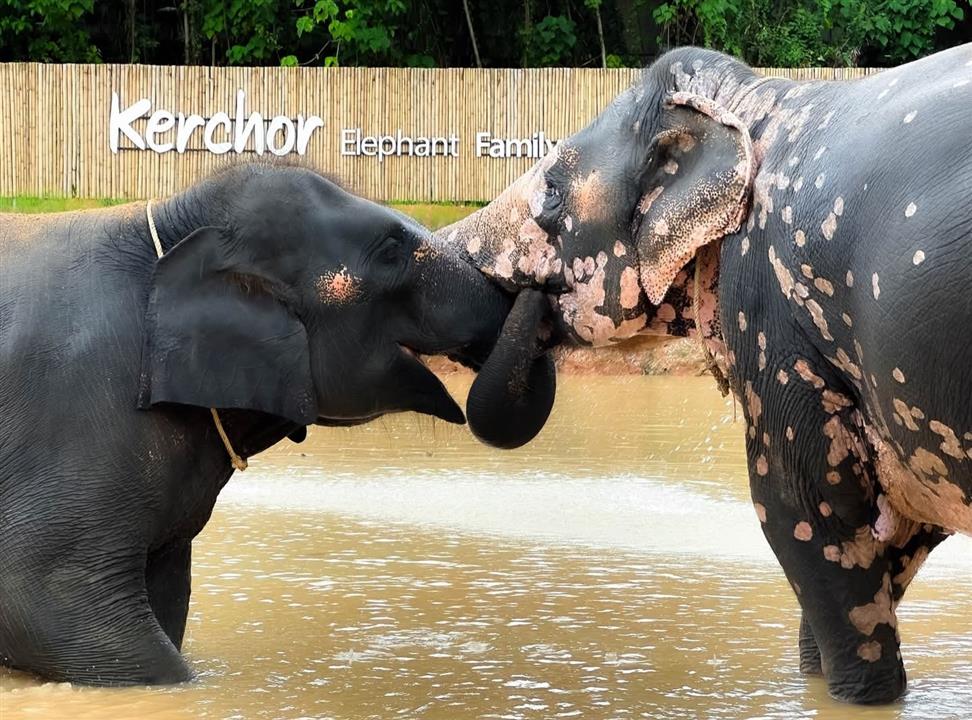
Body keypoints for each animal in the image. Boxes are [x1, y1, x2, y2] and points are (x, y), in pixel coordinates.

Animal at [440, 44, 972, 703]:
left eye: (553, 196)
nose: (532, 299)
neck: (753, 98)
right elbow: (890, 537)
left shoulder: (771, 312)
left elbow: (804, 512)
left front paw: (861, 697)